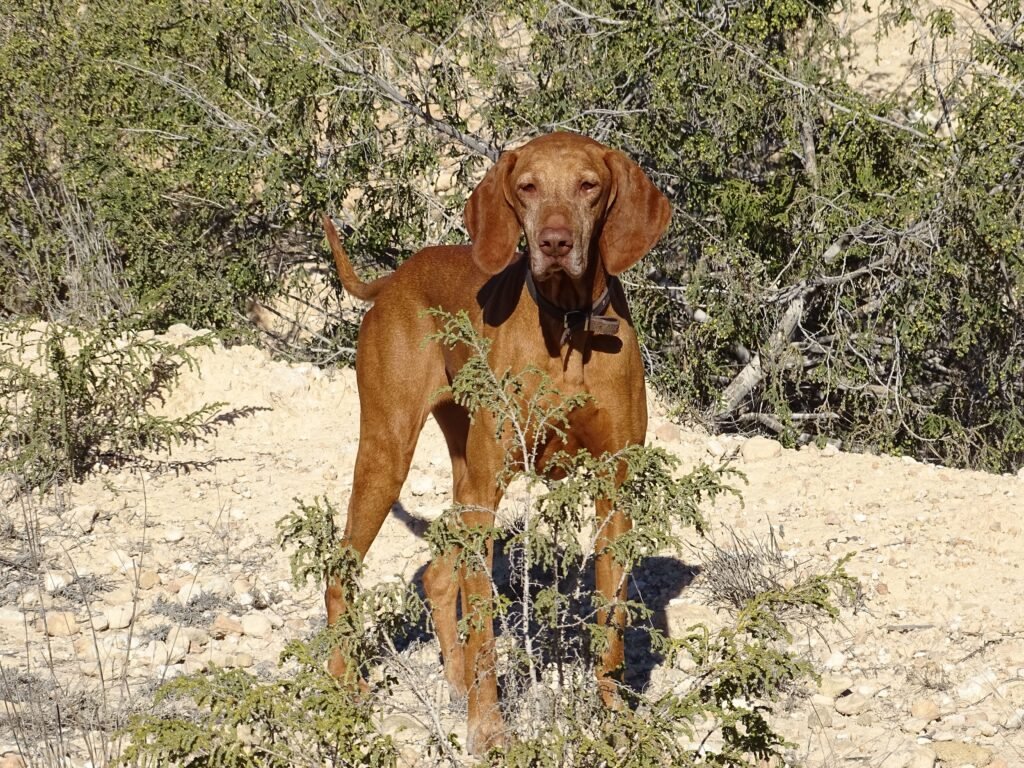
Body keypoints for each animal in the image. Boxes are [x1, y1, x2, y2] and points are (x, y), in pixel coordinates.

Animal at [321, 134, 671, 757]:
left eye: (589, 185)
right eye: (527, 186)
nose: (555, 242)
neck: (569, 326)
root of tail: (395, 277)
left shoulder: (615, 492)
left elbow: (610, 624)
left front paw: (613, 723)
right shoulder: (489, 490)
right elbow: (483, 626)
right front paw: (489, 731)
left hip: (461, 466)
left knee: (439, 576)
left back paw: (455, 686)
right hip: (389, 453)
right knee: (343, 572)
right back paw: (347, 686)